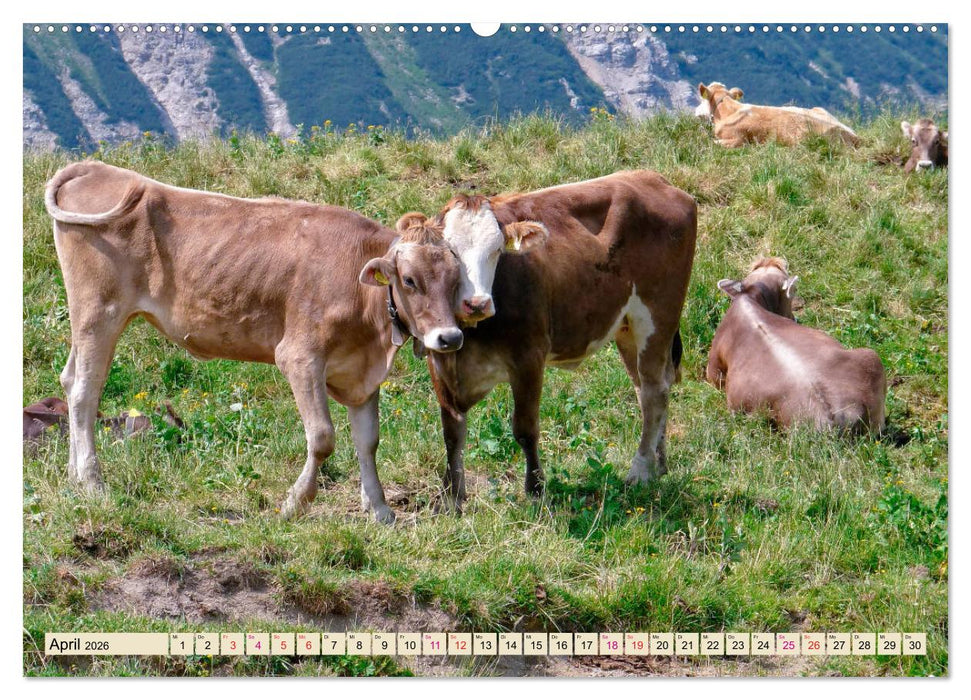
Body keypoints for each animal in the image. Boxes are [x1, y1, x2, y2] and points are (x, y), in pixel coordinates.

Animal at [45, 160, 466, 523]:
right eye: (409, 280)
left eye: (456, 278)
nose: (450, 337)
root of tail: (96, 167)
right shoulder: (299, 357)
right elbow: (323, 438)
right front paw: (295, 504)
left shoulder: (360, 374)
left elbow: (369, 442)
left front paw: (379, 510)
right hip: (98, 311)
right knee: (84, 391)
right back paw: (92, 482)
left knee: (70, 379)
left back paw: (72, 477)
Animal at [399, 171, 697, 509]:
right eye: (450, 252)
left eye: (497, 250)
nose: (477, 303)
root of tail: (655, 179)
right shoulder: (439, 360)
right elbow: (452, 432)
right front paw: (452, 497)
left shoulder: (529, 357)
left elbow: (525, 429)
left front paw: (535, 490)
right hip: (627, 327)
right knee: (647, 389)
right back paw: (659, 462)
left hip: (658, 315)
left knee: (653, 391)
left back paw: (641, 470)